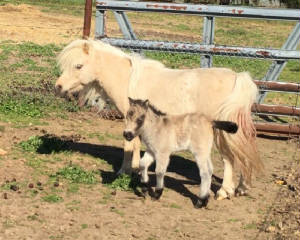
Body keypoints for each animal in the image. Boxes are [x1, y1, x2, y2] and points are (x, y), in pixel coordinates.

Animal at [55, 39, 262, 200]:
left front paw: (124, 171)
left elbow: (129, 146)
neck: (128, 80)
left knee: (229, 158)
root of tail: (237, 77)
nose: (58, 87)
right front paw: (136, 171)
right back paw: (242, 188)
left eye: (78, 66)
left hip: (220, 131)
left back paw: (224, 191)